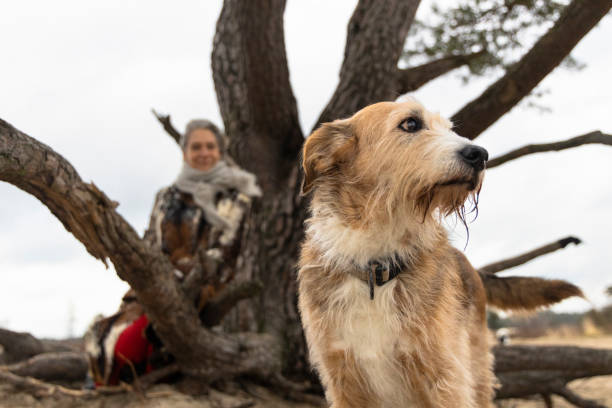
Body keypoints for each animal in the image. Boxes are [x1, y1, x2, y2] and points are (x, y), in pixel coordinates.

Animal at [298, 99, 580, 408]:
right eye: (411, 123)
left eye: (449, 129)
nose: (481, 155)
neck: (376, 266)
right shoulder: (342, 378)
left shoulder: (445, 375)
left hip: (476, 371)